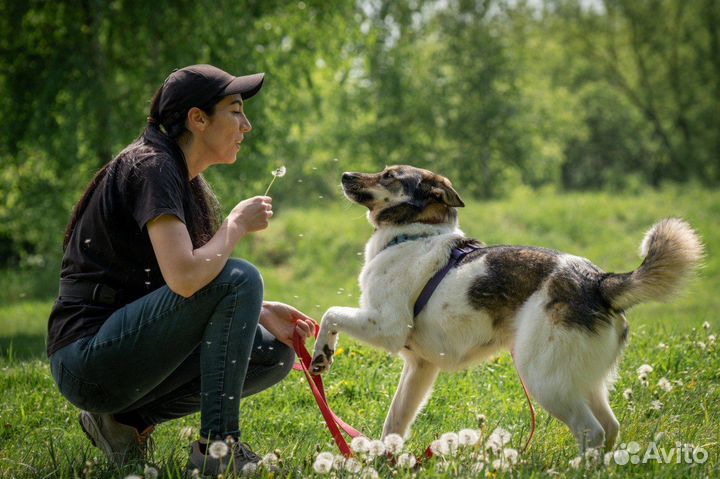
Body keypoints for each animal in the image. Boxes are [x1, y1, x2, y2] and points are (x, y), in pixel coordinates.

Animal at [310, 166, 704, 454]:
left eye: (389, 175)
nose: (345, 174)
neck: (414, 235)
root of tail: (596, 280)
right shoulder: (421, 367)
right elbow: (394, 424)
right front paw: (385, 460)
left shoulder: (385, 327)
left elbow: (330, 314)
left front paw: (321, 354)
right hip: (581, 380)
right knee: (609, 429)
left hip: (544, 379)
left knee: (590, 431)